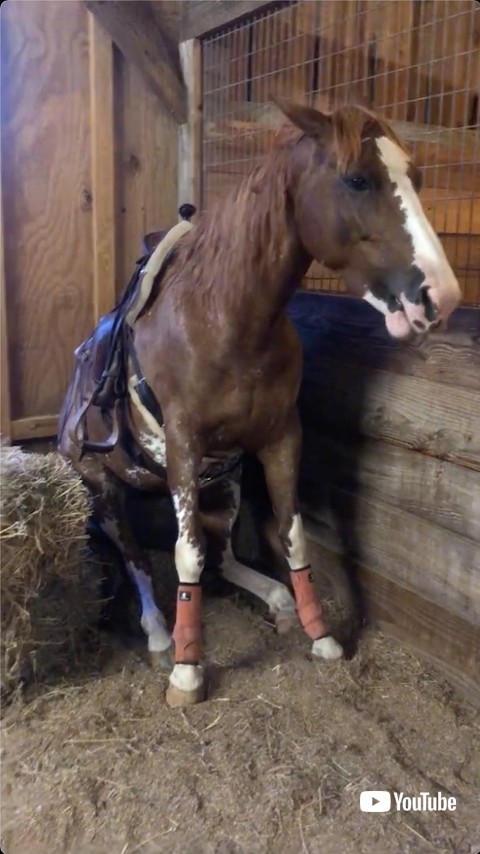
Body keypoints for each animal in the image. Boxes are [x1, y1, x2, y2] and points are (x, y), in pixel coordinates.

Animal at [58, 99, 461, 707]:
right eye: (357, 179)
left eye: (415, 177)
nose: (442, 297)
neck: (228, 319)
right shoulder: (182, 443)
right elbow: (184, 553)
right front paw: (187, 670)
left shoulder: (280, 439)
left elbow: (290, 536)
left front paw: (320, 633)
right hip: (104, 485)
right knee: (133, 551)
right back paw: (158, 632)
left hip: (223, 483)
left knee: (222, 555)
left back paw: (275, 600)